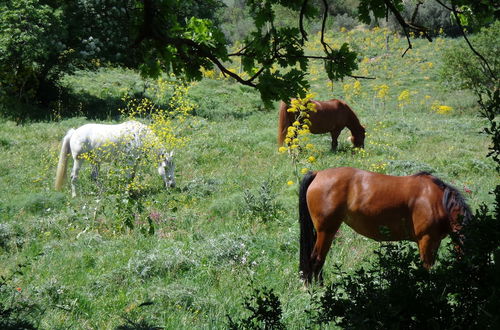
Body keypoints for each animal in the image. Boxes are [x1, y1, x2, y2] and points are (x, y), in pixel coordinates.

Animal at [298, 168, 470, 284]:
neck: (437, 201)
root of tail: (318, 174)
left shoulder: (435, 241)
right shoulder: (426, 240)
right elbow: (427, 268)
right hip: (326, 231)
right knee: (316, 259)